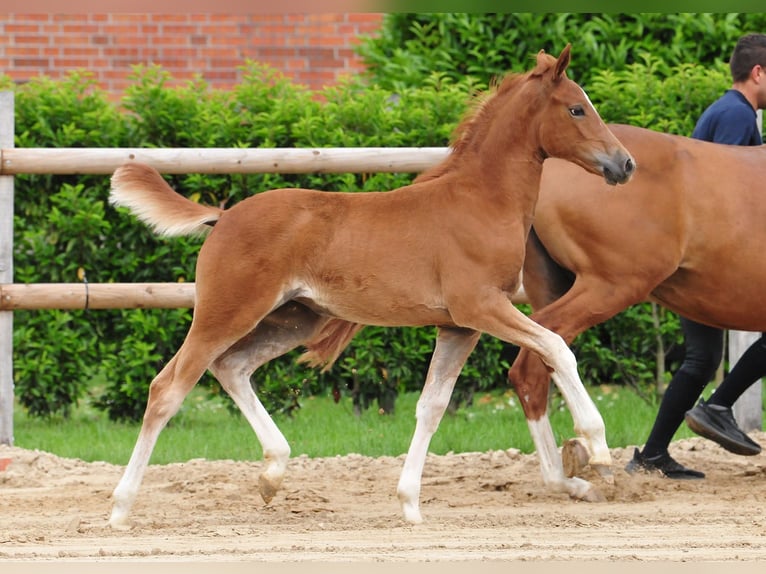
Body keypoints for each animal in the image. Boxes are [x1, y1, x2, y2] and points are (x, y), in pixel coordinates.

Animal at [106, 45, 635, 528]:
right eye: (577, 108)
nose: (624, 164)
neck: (481, 201)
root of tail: (224, 216)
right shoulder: (481, 307)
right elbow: (556, 347)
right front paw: (598, 448)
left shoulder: (459, 326)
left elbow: (432, 406)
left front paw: (410, 505)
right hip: (227, 311)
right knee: (169, 386)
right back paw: (120, 509)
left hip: (296, 319)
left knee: (231, 367)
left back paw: (272, 475)